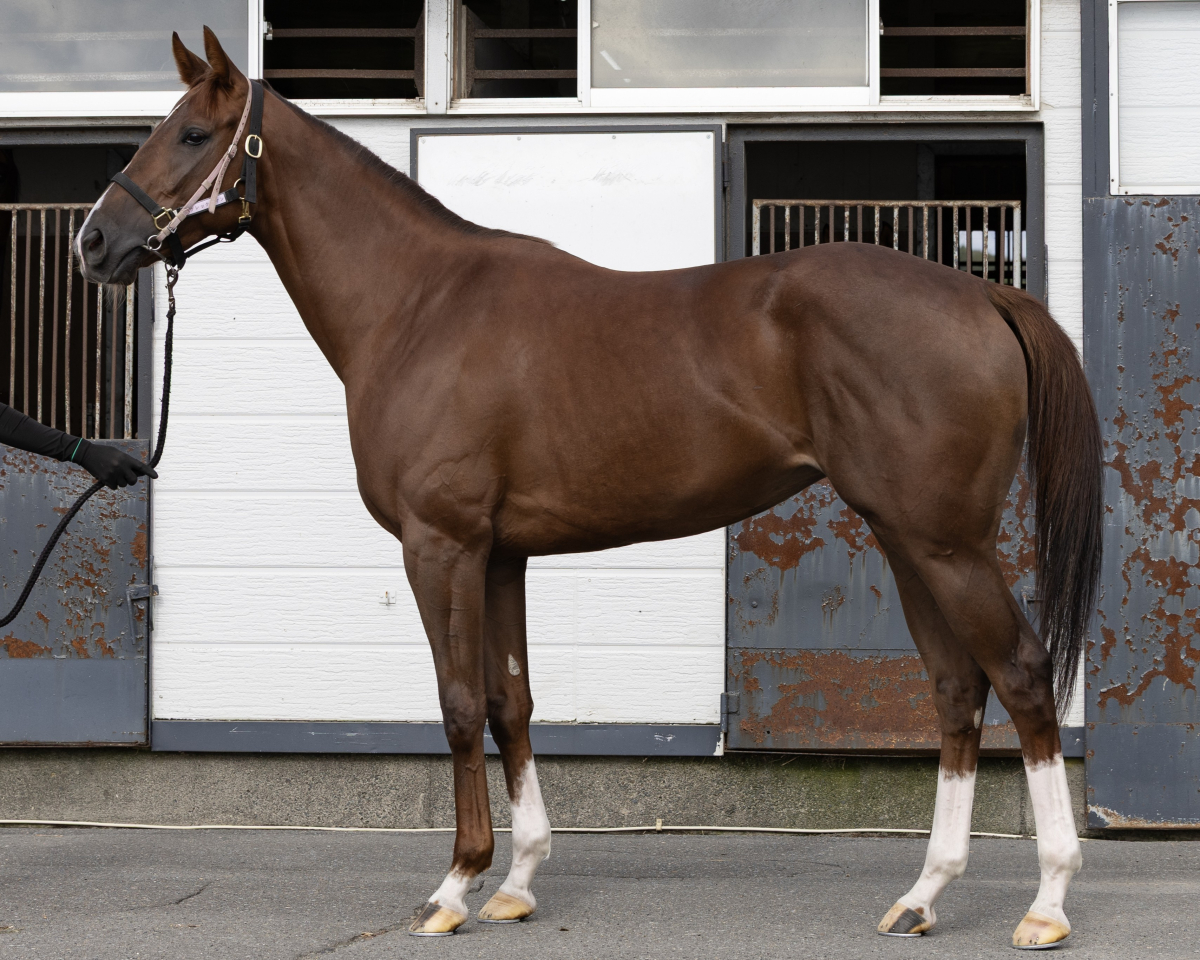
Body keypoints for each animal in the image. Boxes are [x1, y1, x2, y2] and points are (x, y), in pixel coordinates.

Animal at [77, 28, 1101, 948]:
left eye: (192, 134)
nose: (95, 242)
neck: (418, 307)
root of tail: (983, 293)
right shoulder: (501, 557)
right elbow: (511, 701)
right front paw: (517, 881)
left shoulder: (440, 546)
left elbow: (458, 704)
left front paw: (453, 887)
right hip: (904, 537)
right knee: (957, 689)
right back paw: (923, 896)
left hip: (944, 543)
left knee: (1021, 675)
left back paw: (1049, 902)